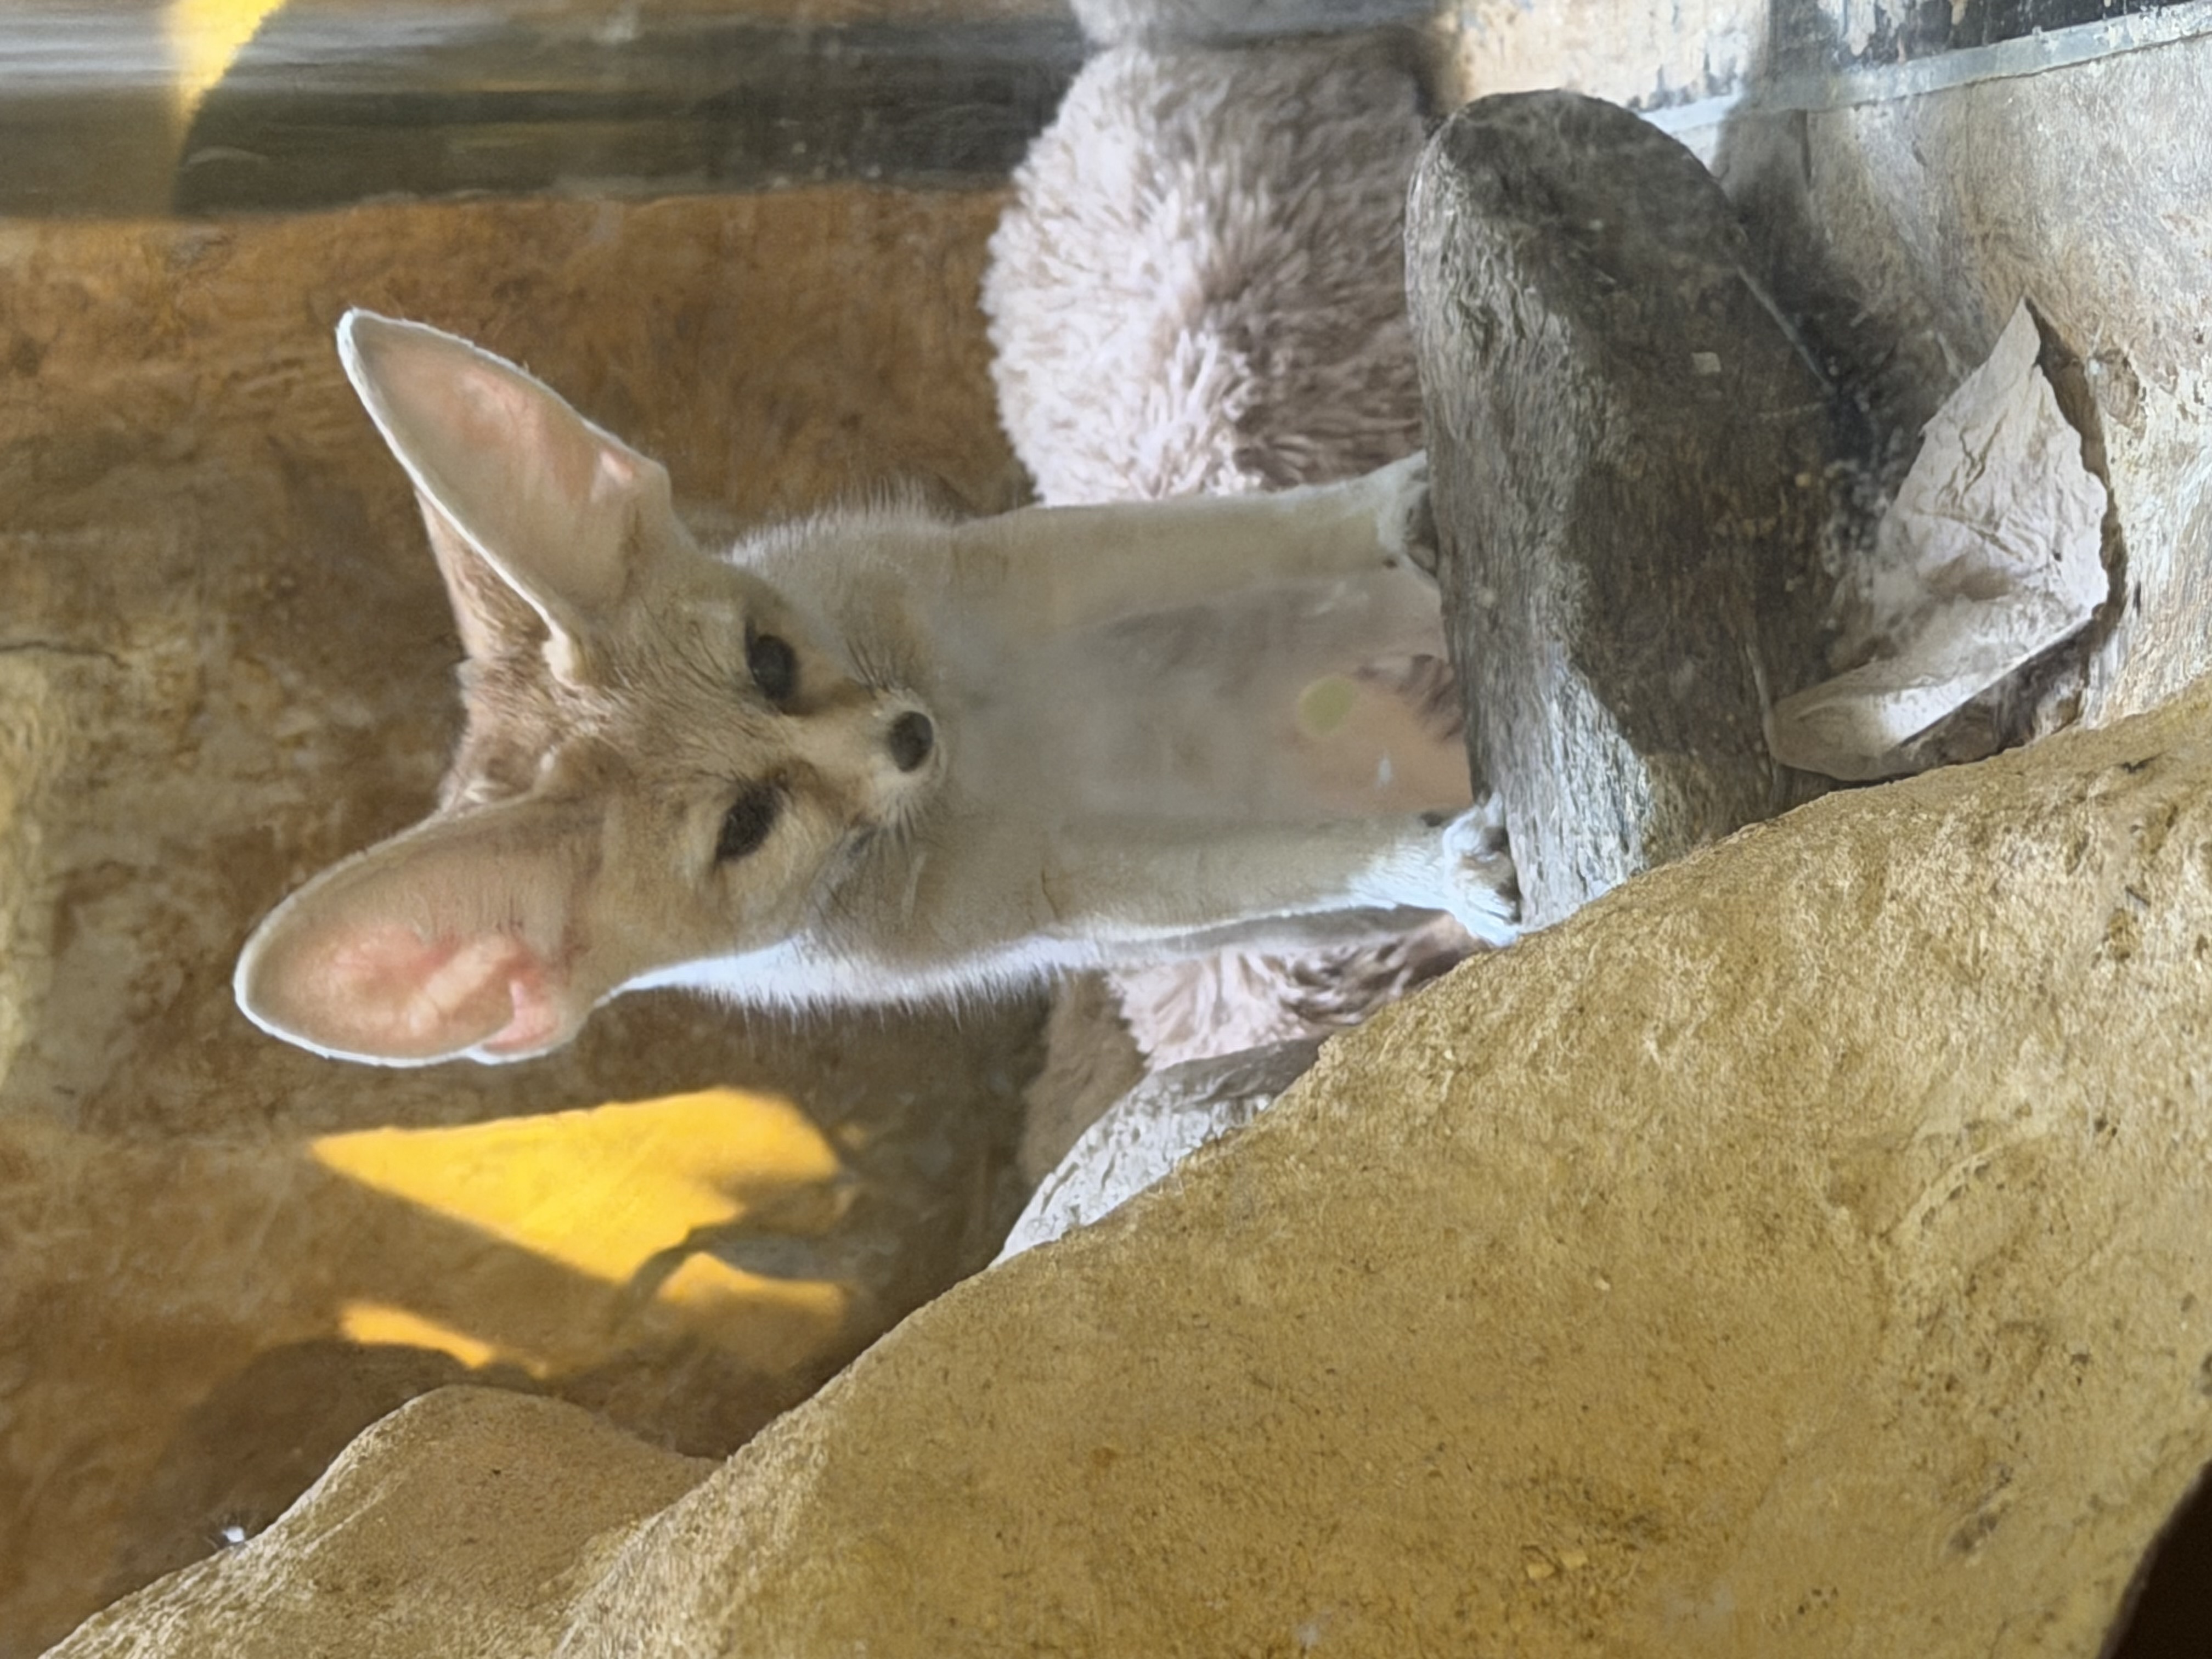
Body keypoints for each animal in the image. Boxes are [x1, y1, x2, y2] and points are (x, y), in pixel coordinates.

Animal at [232, 311, 1518, 1067]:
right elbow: (1302, 859)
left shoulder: (1028, 573)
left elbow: (1268, 530)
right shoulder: (1077, 883)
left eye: (768, 657)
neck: (989, 739)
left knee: (1362, 602)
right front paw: (1433, 859)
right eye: (744, 828)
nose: (907, 737)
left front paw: (1390, 504)